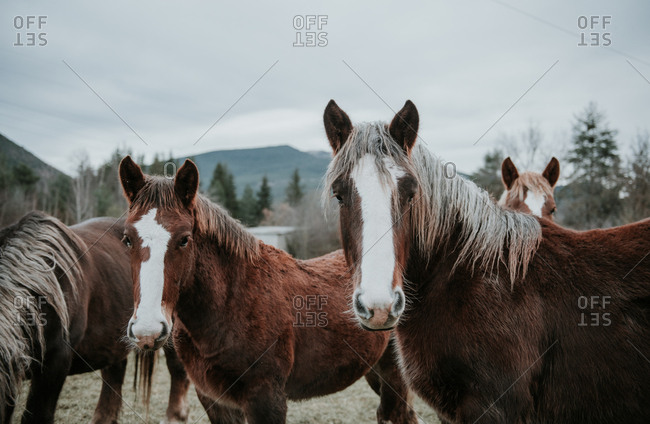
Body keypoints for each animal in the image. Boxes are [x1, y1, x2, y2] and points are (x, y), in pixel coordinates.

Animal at [118, 156, 419, 424]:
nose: (147, 330)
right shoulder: (215, 401)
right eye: (127, 239)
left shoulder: (266, 400)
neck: (231, 304)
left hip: (394, 375)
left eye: (184, 239)